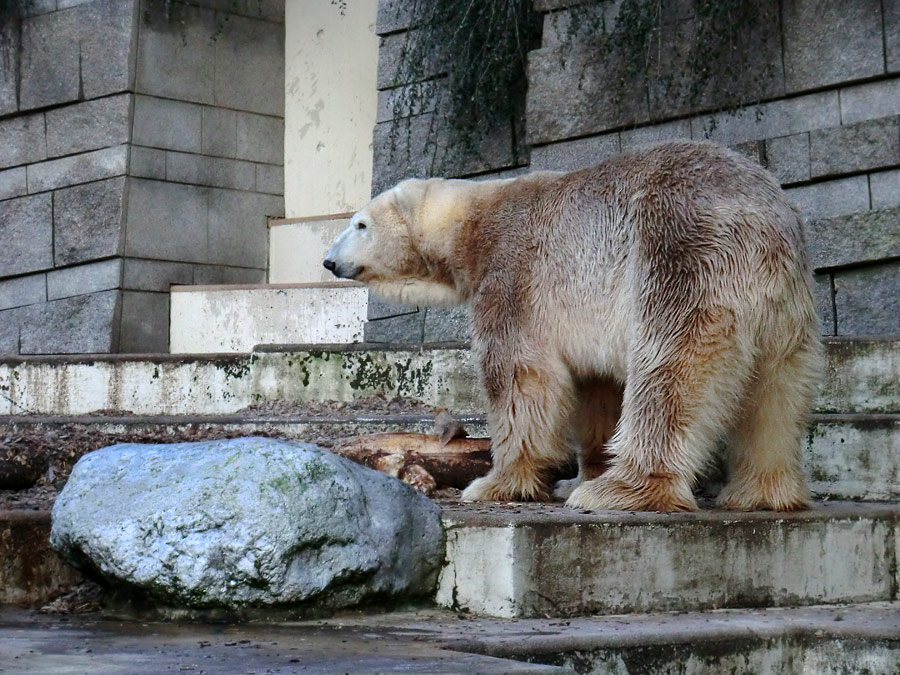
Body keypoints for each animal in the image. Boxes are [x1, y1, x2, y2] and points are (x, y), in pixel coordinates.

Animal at [324, 143, 824, 512]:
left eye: (359, 224)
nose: (329, 261)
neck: (473, 224)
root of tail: (764, 221)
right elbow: (595, 389)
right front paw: (577, 473)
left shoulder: (514, 275)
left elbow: (520, 378)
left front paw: (495, 482)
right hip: (785, 304)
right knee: (776, 390)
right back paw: (762, 493)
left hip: (682, 256)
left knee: (670, 369)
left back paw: (621, 490)